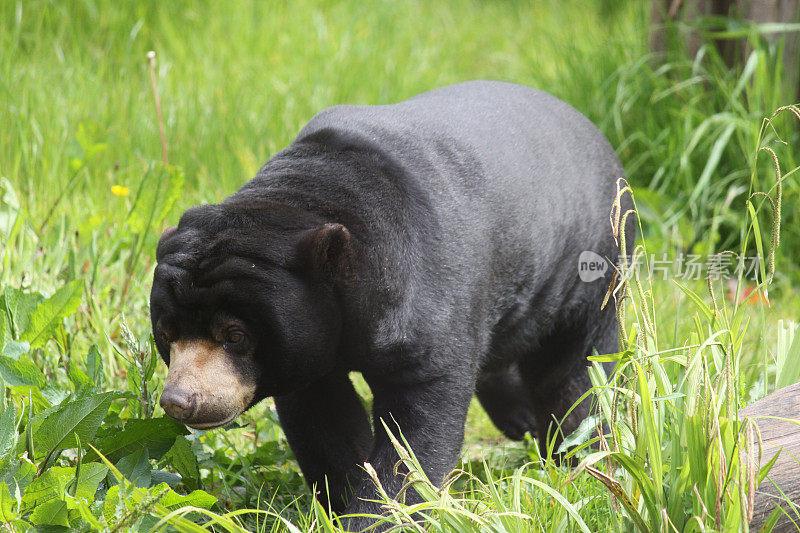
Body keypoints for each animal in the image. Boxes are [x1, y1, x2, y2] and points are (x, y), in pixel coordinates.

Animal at [150, 80, 636, 528]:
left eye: (235, 335)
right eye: (168, 333)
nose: (181, 401)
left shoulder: (427, 291)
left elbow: (416, 419)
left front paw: (379, 516)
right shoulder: (310, 349)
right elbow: (324, 418)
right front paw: (343, 502)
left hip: (593, 263)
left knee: (573, 371)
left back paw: (580, 458)